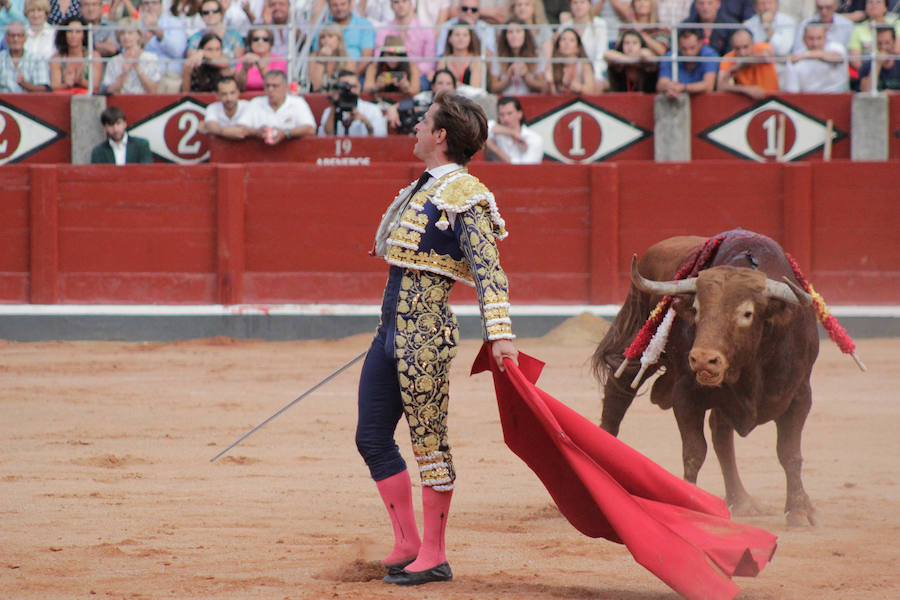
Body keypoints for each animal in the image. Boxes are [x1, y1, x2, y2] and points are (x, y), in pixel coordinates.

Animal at [596, 230, 820, 524]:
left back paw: (741, 500)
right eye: (696, 309)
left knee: (722, 437)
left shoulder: (800, 395)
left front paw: (799, 510)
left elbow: (789, 453)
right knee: (618, 391)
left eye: (747, 313)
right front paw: (688, 504)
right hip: (638, 333)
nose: (703, 359)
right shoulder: (686, 396)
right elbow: (693, 452)